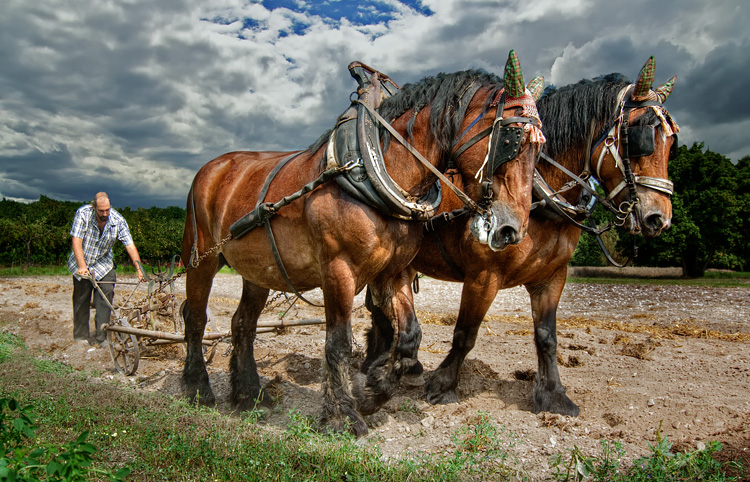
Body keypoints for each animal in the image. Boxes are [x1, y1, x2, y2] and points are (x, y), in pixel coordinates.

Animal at [182, 50, 548, 434]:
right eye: (510, 139)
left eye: (540, 151)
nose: (512, 230)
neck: (375, 166)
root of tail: (213, 167)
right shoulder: (337, 271)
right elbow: (338, 343)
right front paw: (342, 414)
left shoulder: (394, 270)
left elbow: (409, 336)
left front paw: (372, 392)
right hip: (201, 256)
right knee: (195, 317)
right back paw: (197, 387)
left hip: (259, 269)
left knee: (243, 324)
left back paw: (249, 394)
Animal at [364, 55, 680, 414]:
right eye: (641, 136)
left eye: (672, 144)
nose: (659, 218)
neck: (539, 197)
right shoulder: (483, 276)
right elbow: (465, 333)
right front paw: (443, 385)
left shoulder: (552, 276)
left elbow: (546, 336)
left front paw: (553, 394)